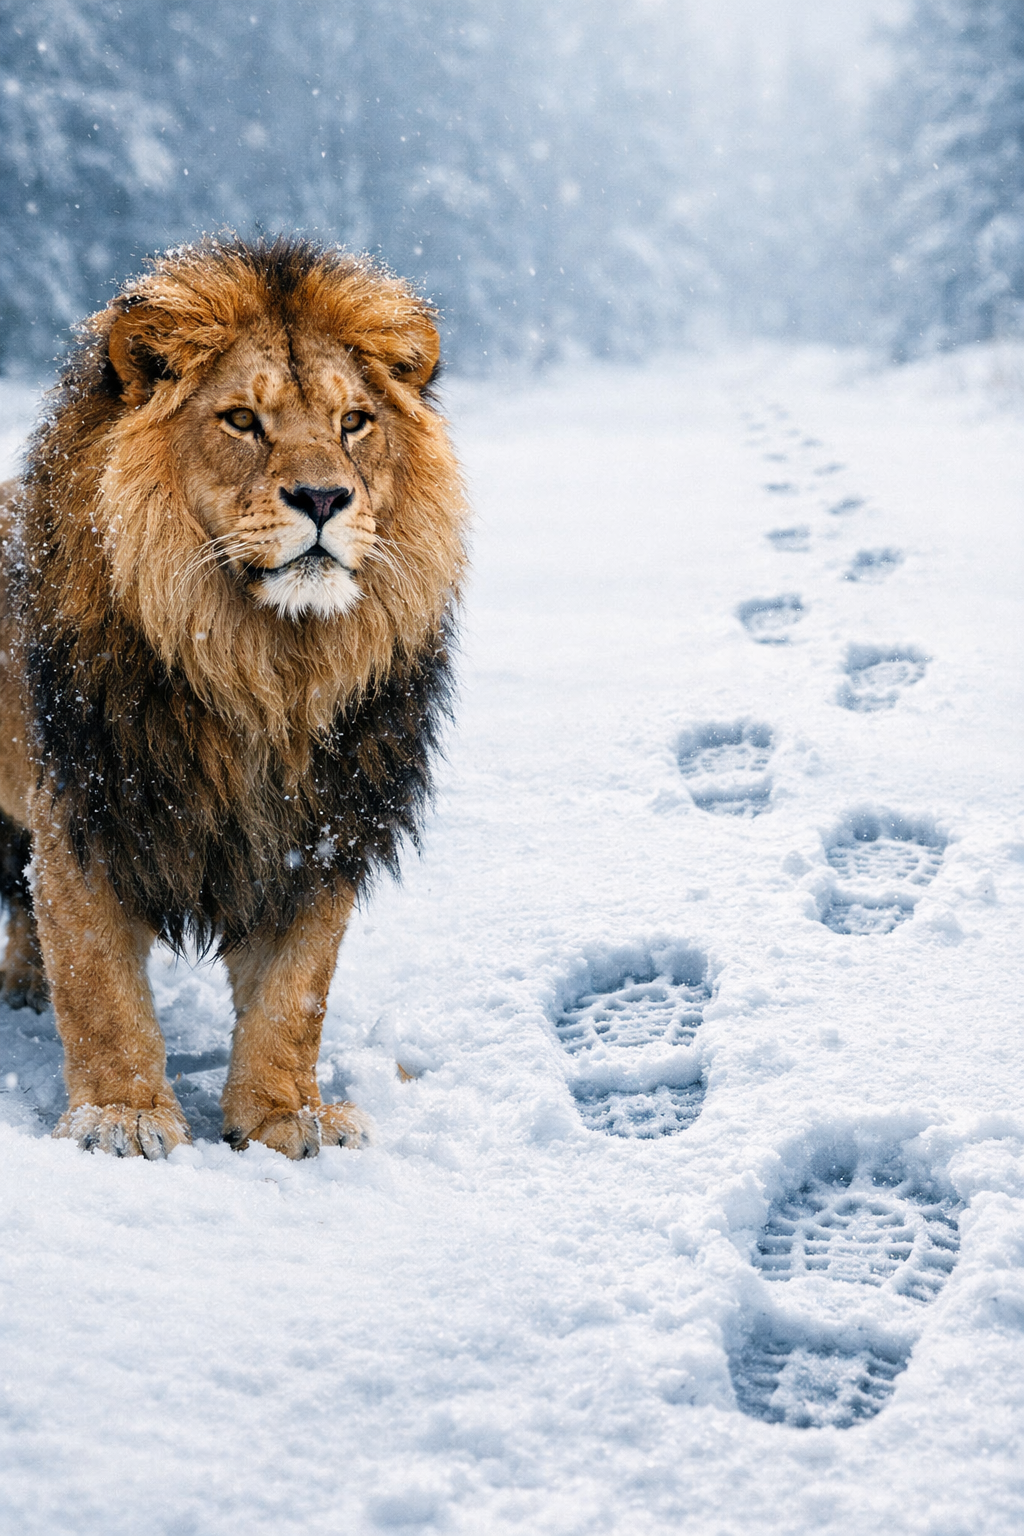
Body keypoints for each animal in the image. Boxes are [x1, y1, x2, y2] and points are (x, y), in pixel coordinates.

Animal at [0, 237, 467, 1159]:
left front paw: (286, 1115)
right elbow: (97, 984)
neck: (263, 668)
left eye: (354, 422)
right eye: (243, 421)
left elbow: (295, 993)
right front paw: (124, 1115)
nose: (323, 497)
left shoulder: (318, 827)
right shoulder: (85, 806)